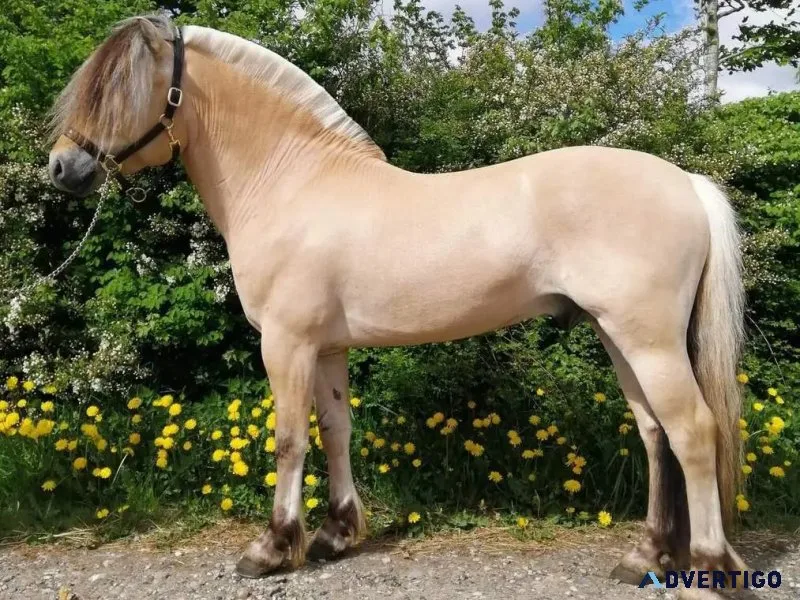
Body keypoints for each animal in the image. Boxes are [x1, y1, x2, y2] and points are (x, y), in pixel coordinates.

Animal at [47, 14, 747, 597]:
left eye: (118, 89)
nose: (61, 168)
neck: (291, 182)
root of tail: (686, 183)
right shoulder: (326, 346)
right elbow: (335, 431)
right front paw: (335, 535)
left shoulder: (286, 342)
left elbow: (288, 440)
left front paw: (271, 548)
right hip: (618, 335)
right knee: (654, 433)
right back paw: (644, 557)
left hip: (647, 339)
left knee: (692, 432)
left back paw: (711, 566)